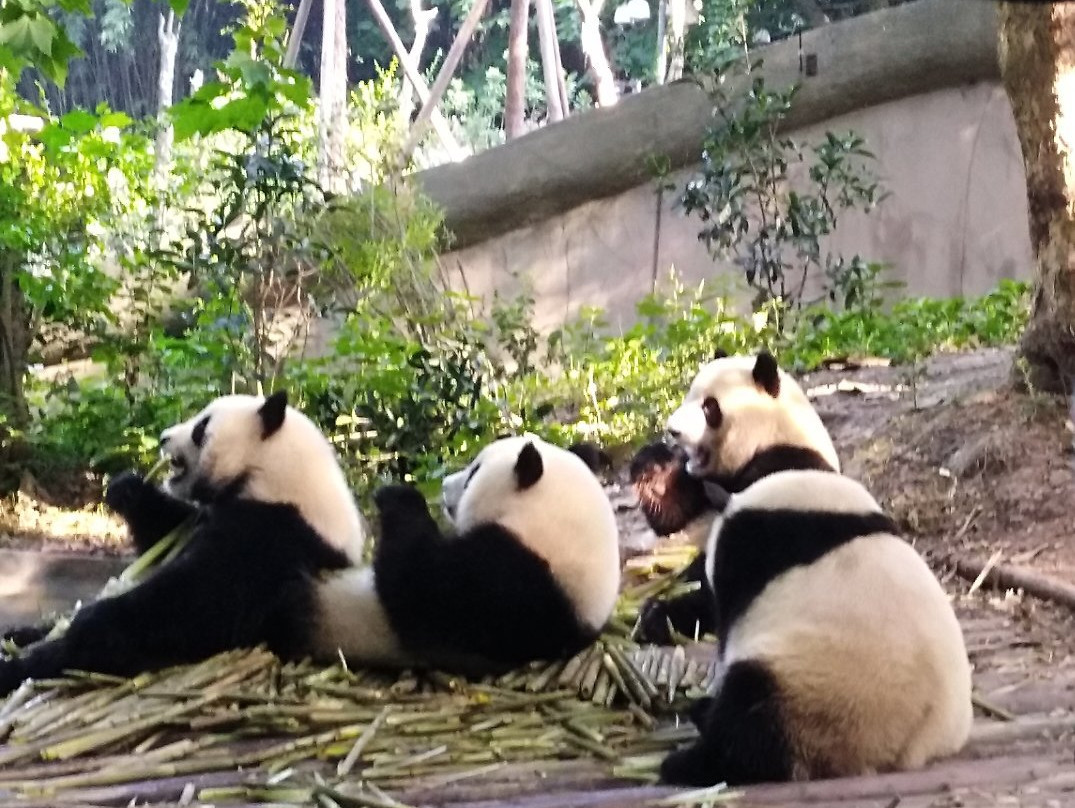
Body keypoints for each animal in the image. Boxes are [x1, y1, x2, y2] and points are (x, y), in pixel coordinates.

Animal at [631, 351, 840, 644]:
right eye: (688, 396)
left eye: (709, 407)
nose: (673, 431)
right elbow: (673, 516)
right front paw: (652, 464)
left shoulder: (787, 467)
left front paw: (665, 614)